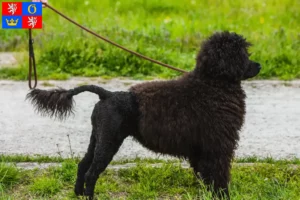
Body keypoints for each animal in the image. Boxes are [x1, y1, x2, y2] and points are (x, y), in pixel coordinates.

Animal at [26, 31, 260, 198]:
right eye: (242, 55)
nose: (259, 65)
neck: (212, 83)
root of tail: (106, 94)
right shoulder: (218, 147)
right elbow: (218, 175)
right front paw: (222, 195)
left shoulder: (202, 150)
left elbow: (205, 175)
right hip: (109, 141)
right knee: (92, 172)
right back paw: (90, 196)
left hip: (97, 137)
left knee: (83, 165)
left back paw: (78, 194)